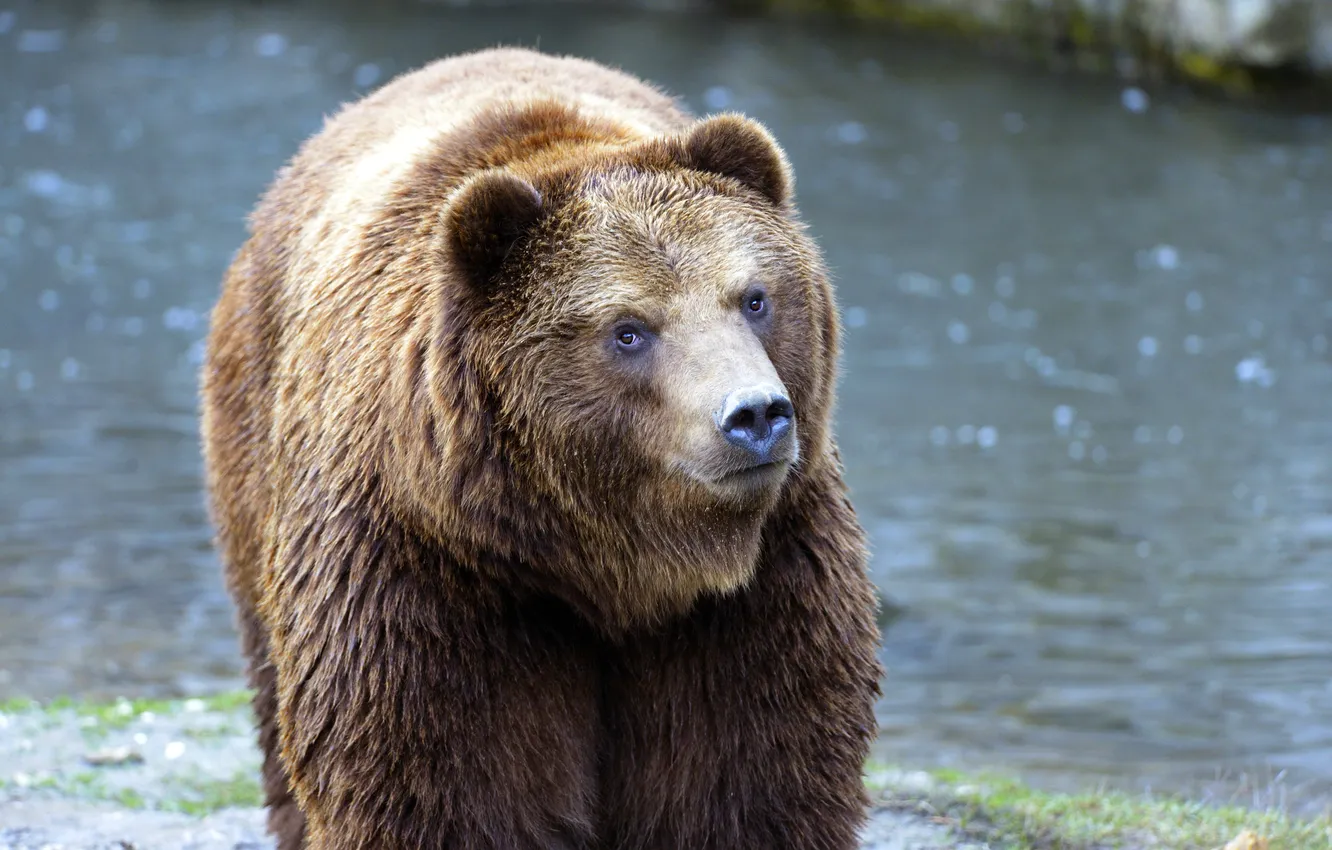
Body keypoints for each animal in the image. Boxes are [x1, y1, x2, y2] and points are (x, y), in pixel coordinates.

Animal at [200, 46, 882, 850]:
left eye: (754, 296)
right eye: (629, 329)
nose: (755, 415)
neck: (615, 566)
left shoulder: (760, 584)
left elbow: (754, 775)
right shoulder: (429, 569)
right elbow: (437, 781)